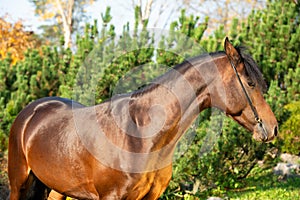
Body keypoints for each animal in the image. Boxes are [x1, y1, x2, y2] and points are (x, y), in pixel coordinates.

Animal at [7, 38, 278, 200]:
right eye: (250, 83)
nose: (273, 128)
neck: (142, 135)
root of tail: (31, 111)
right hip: (18, 183)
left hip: (58, 189)